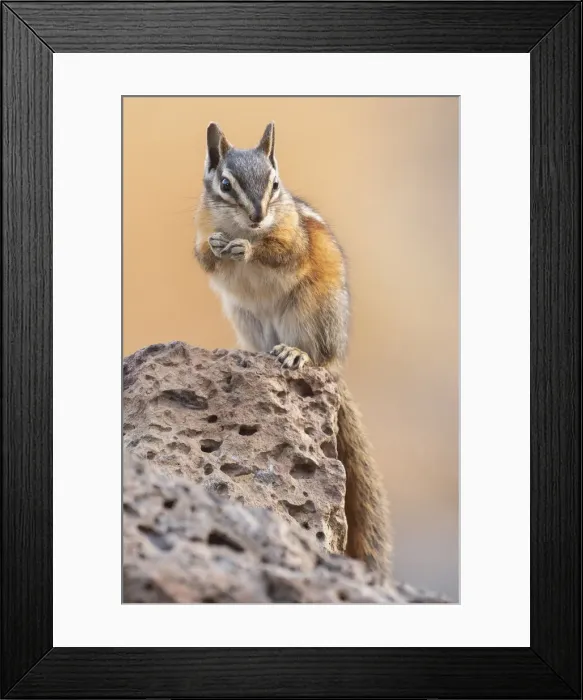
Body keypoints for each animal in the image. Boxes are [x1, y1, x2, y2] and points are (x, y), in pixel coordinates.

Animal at [193, 122, 391, 576]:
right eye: (225, 184)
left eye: (275, 183)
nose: (257, 215)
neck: (244, 227)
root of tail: (336, 363)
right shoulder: (198, 229)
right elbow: (203, 256)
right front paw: (217, 246)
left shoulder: (291, 236)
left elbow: (283, 250)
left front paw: (248, 248)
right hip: (245, 317)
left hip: (309, 311)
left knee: (314, 356)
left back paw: (297, 355)